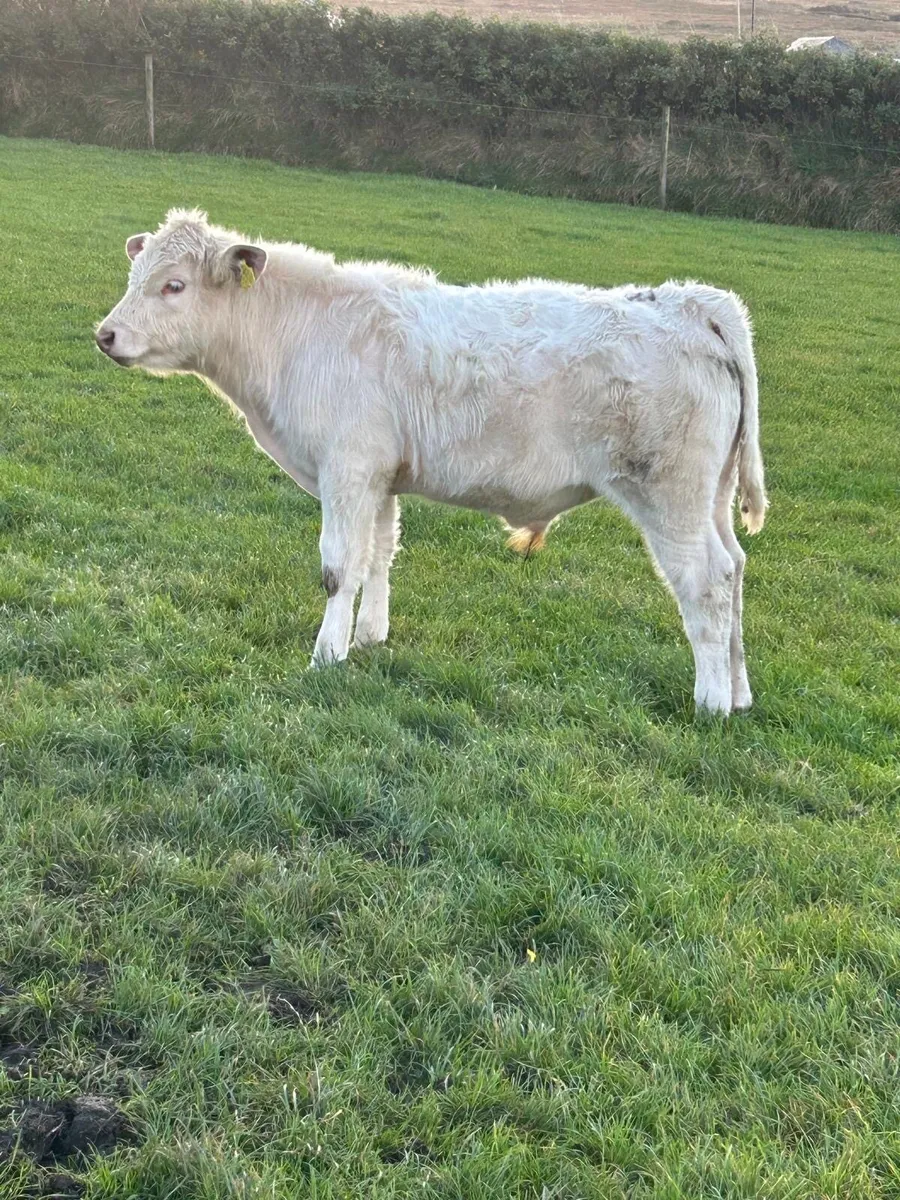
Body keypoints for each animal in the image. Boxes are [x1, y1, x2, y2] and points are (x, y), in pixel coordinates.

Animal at [96, 209, 767, 715]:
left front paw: (326, 656)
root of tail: (692, 303)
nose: (105, 334)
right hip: (710, 498)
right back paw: (738, 694)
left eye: (173, 285)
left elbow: (340, 566)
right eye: (135, 274)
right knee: (734, 571)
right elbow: (379, 553)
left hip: (670, 494)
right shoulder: (379, 476)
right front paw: (369, 638)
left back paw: (710, 702)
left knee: (707, 580)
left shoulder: (347, 468)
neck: (300, 334)